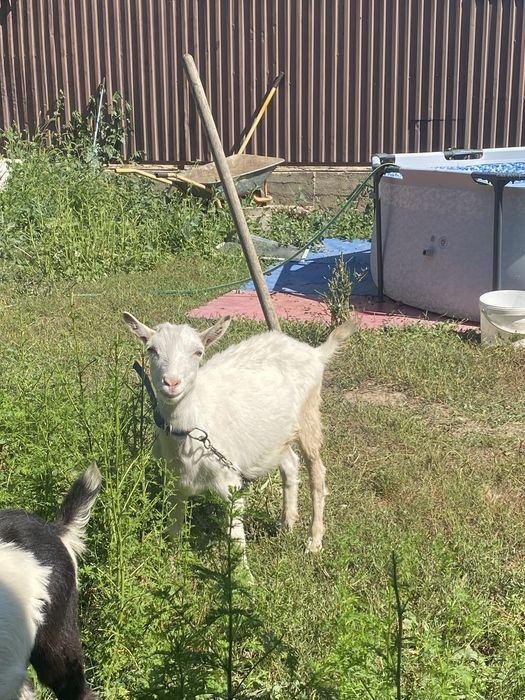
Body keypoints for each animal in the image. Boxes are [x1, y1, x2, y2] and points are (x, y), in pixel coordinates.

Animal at [124, 312, 356, 553]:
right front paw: (174, 559)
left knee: (317, 473)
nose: (171, 382)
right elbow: (174, 535)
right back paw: (287, 523)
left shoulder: (230, 483)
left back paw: (314, 540)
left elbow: (236, 541)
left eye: (198, 352)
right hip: (276, 436)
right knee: (290, 463)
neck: (190, 432)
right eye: (151, 349)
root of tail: (314, 353)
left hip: (309, 415)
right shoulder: (173, 486)